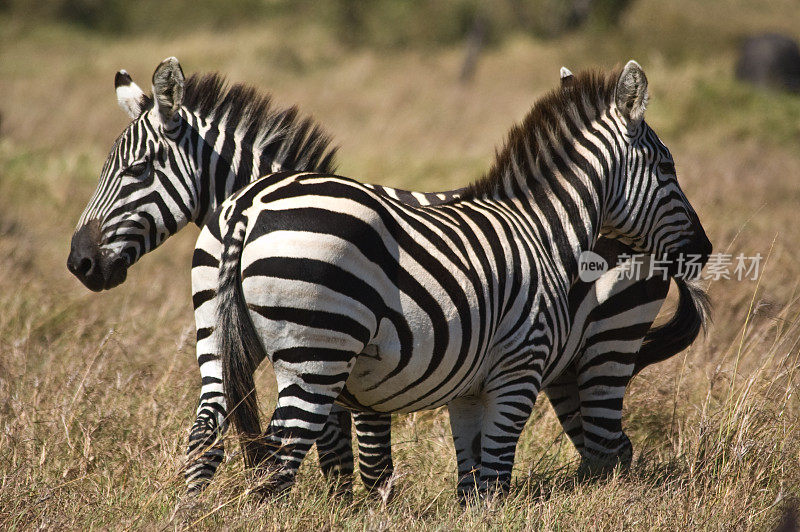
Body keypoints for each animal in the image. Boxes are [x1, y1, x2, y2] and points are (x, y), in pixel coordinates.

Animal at [209, 60, 708, 500]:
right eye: (667, 168)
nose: (703, 250)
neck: (541, 230)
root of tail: (252, 207)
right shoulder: (519, 368)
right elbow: (495, 474)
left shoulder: (468, 387)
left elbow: (471, 480)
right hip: (316, 355)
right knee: (276, 464)